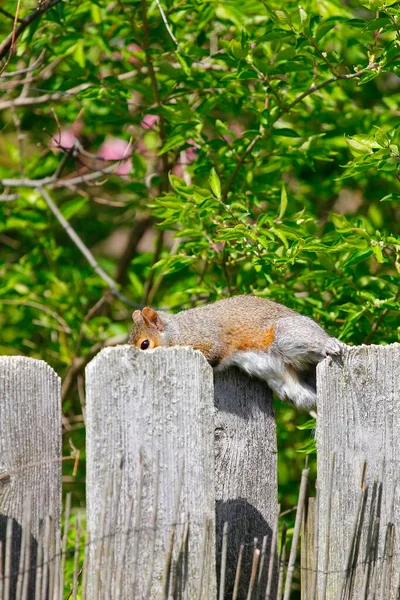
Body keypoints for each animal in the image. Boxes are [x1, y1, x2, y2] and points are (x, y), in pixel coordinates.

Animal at [129, 296, 344, 412]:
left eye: (145, 344)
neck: (177, 332)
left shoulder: (207, 340)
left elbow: (214, 355)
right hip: (290, 388)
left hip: (288, 335)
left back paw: (329, 344)